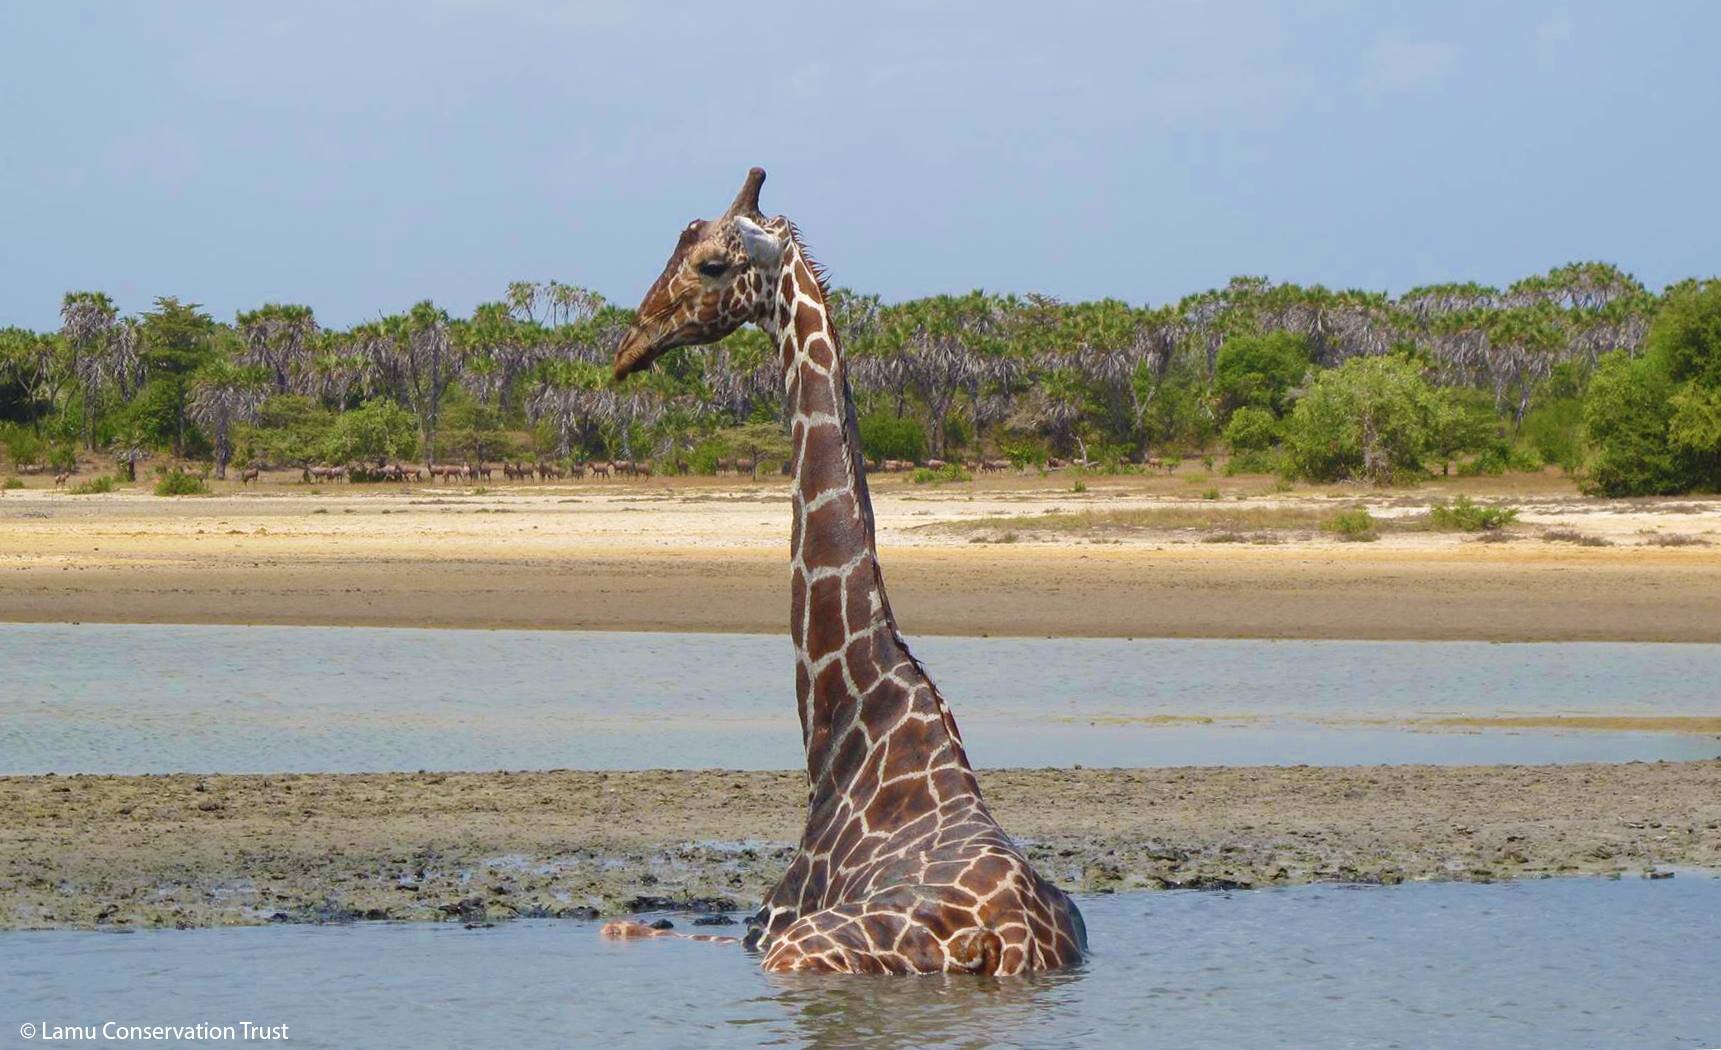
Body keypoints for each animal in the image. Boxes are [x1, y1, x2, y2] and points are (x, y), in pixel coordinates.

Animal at [600, 169, 1086, 975]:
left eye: (711, 264)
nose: (628, 347)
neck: (849, 727)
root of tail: (1004, 944)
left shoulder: (767, 926)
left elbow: (644, 926)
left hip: (801, 952)